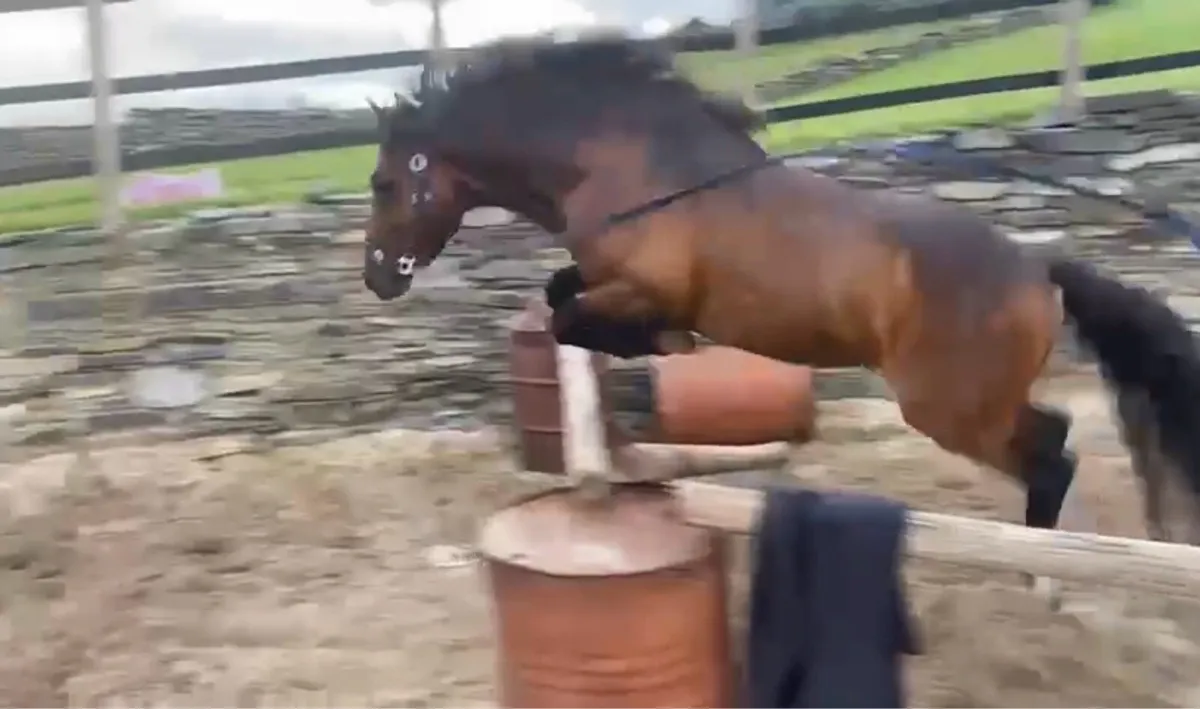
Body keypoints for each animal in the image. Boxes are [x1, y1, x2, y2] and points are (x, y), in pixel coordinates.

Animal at [361, 33, 1200, 552]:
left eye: (382, 182)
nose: (377, 275)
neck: (626, 164)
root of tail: (1038, 268)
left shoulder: (643, 287)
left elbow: (578, 317)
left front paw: (660, 350)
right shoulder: (606, 277)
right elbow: (563, 294)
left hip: (948, 407)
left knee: (1050, 456)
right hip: (973, 405)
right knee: (1056, 437)